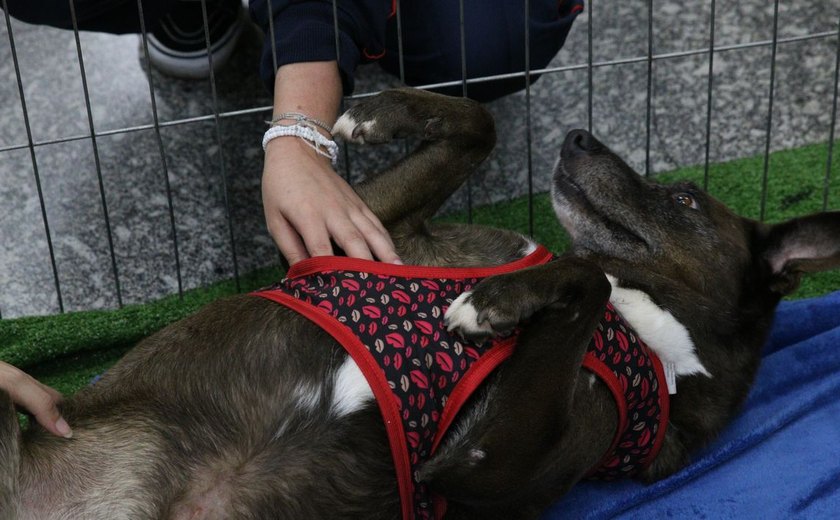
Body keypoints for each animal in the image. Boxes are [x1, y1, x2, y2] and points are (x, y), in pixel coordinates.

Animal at [1, 89, 840, 520]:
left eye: (687, 199)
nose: (578, 138)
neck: (654, 332)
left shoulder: (473, 465)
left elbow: (584, 278)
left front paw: (497, 304)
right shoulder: (372, 226)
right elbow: (479, 123)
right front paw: (376, 112)